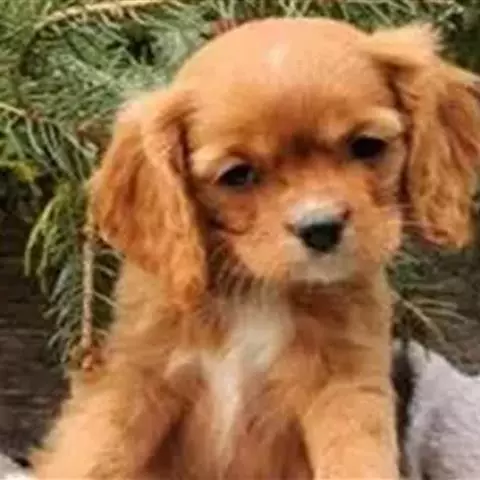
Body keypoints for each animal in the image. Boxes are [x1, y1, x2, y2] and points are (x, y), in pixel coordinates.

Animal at [34, 18, 480, 479]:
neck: (256, 290)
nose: (320, 227)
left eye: (367, 146)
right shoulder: (135, 375)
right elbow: (91, 453)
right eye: (238, 175)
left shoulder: (346, 385)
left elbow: (356, 458)